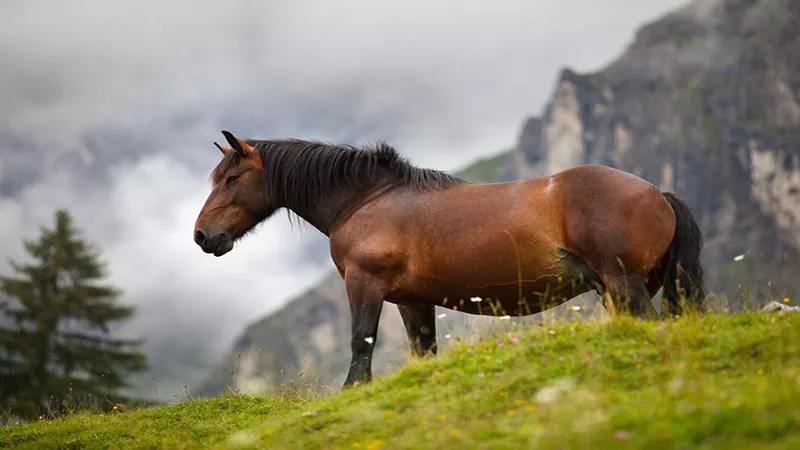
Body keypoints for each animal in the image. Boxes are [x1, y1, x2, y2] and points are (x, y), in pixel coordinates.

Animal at [194, 129, 708, 386]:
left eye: (233, 178)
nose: (203, 236)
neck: (368, 200)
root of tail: (657, 193)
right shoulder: (412, 301)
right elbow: (424, 351)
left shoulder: (365, 285)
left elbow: (361, 343)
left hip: (624, 286)